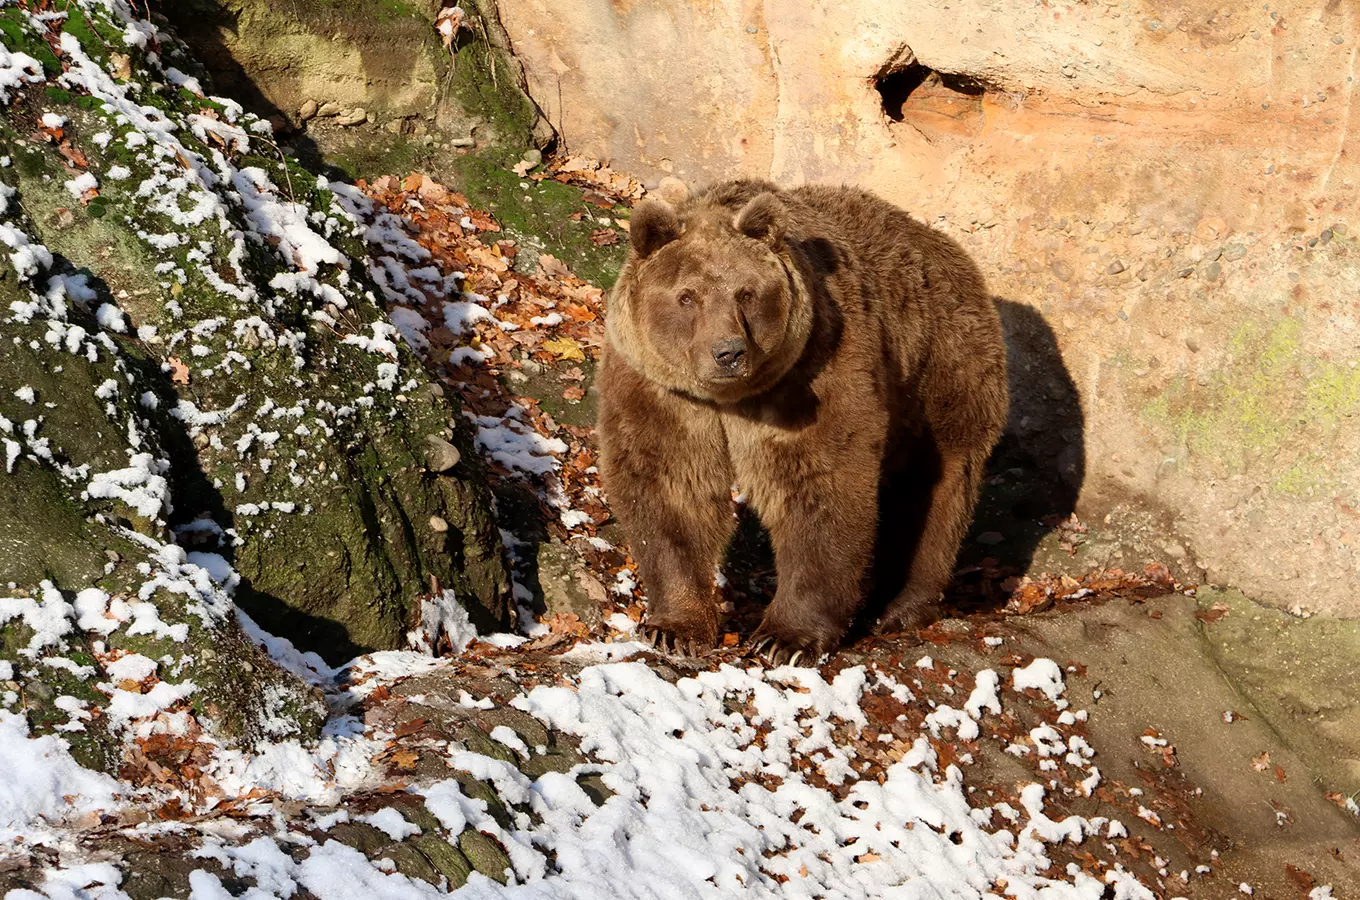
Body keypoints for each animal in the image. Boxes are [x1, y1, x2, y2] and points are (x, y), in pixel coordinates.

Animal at [598, 182, 1011, 663]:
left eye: (746, 293)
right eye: (687, 296)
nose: (728, 352)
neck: (728, 397)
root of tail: (957, 255)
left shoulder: (809, 371)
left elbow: (818, 486)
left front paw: (785, 638)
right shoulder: (661, 390)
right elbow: (670, 486)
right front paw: (676, 626)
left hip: (942, 372)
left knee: (935, 492)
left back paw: (899, 608)